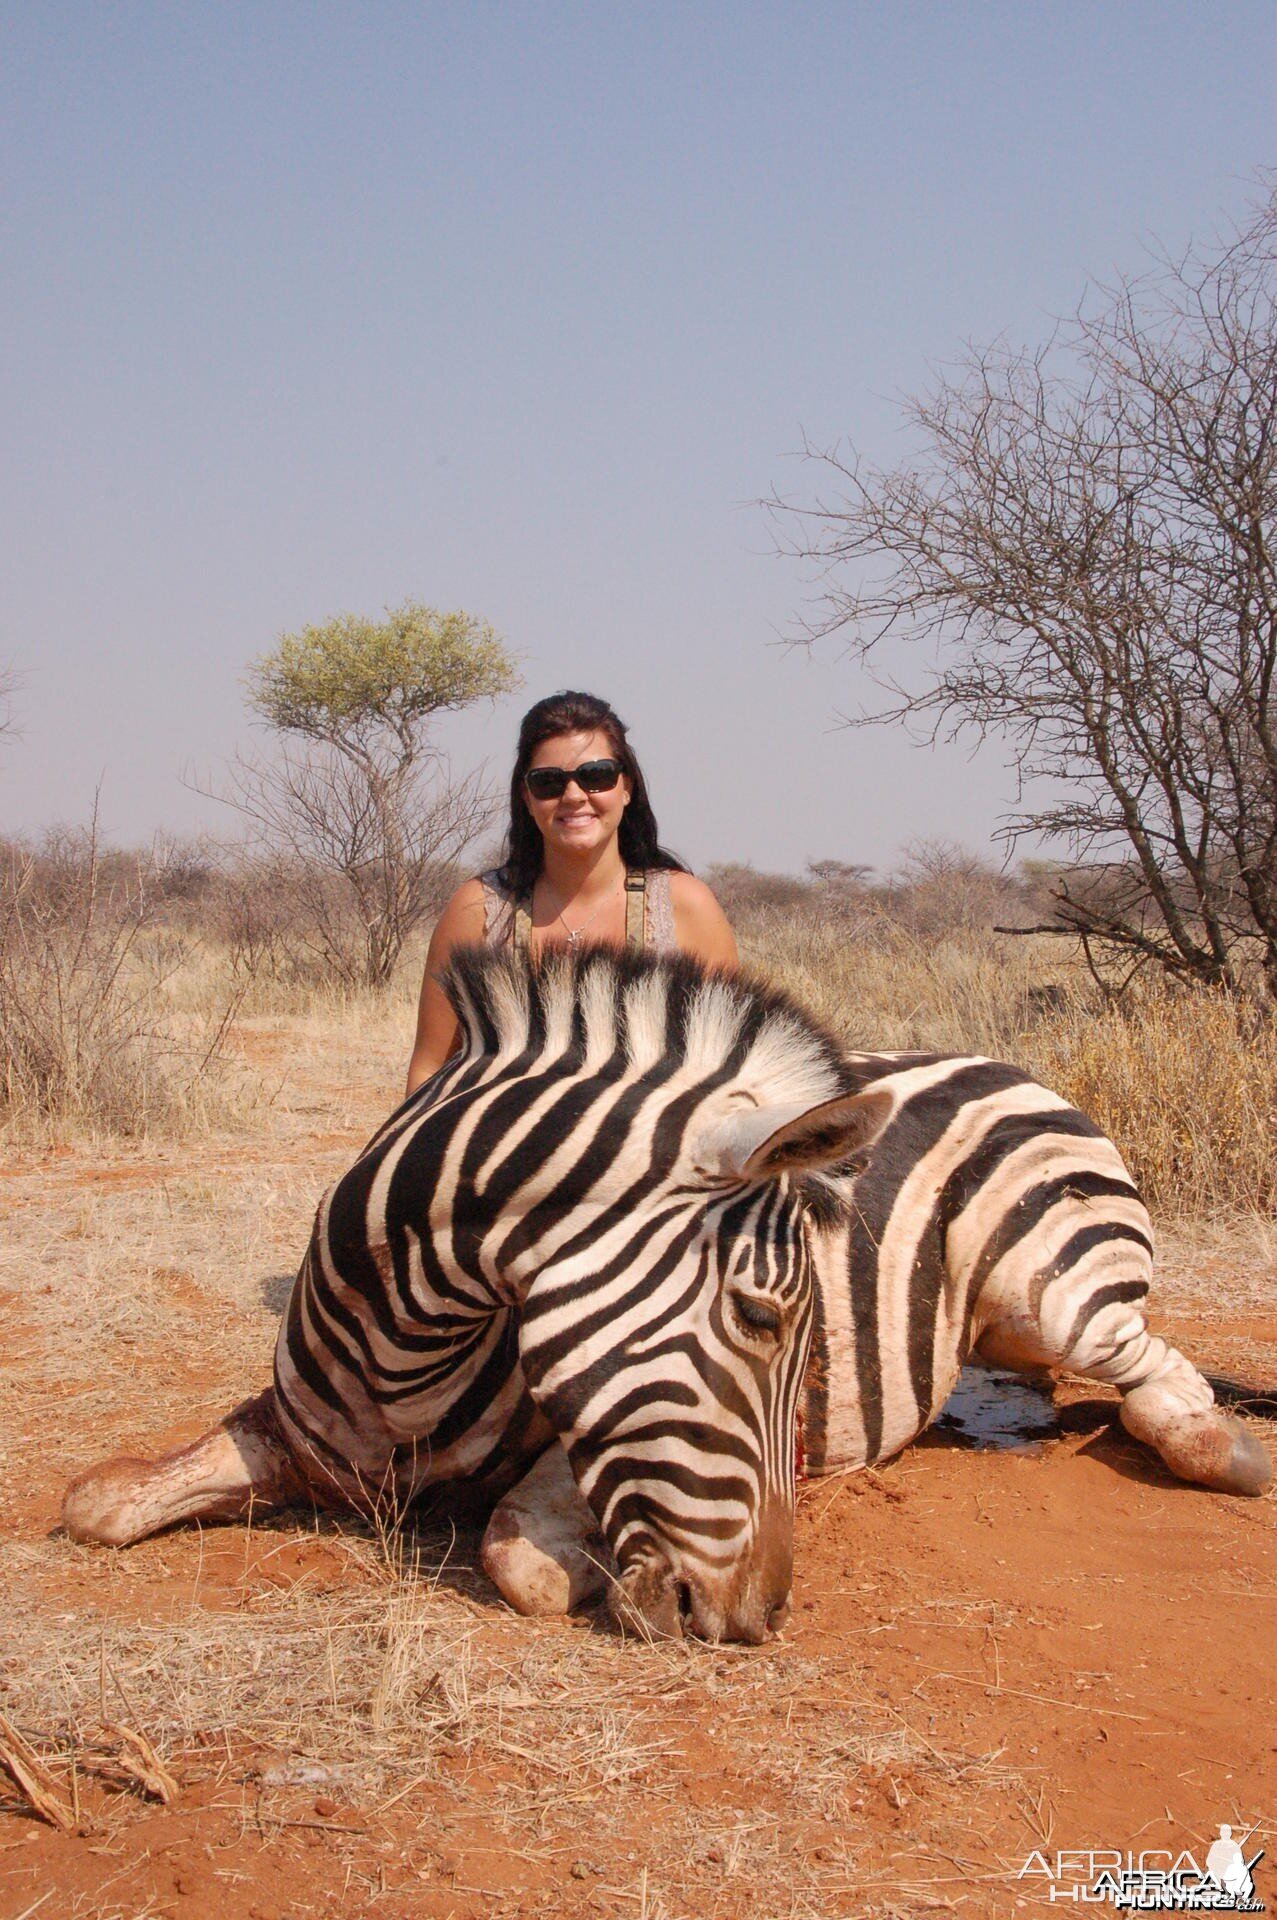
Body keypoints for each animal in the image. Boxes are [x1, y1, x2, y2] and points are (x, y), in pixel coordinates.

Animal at [64, 936, 1267, 1643]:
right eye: (761, 1317)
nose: (756, 1623)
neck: (401, 1353)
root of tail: (1000, 1060)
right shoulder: (290, 1434)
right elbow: (99, 1503)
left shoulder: (565, 1437)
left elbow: (519, 1559)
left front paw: (589, 1566)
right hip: (1014, 1336)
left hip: (1053, 1294)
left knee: (1153, 1370)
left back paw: (1220, 1448)